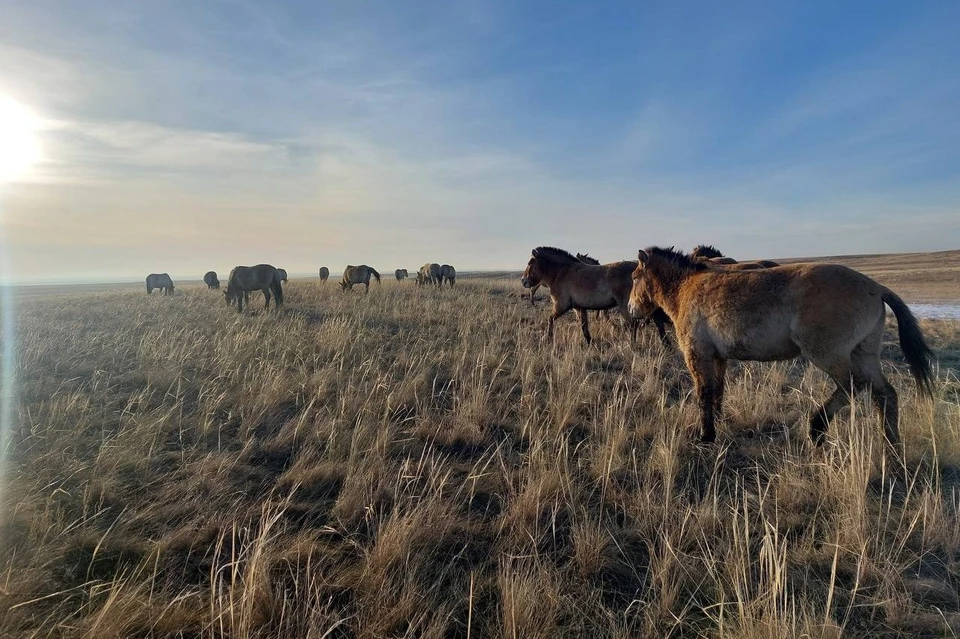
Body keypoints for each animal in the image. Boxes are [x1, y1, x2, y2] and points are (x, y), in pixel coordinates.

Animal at [628, 246, 932, 450]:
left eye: (633, 277)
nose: (631, 309)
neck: (686, 288)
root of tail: (875, 287)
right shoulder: (718, 358)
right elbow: (717, 390)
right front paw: (718, 423)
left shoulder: (697, 355)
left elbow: (704, 393)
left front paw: (706, 436)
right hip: (864, 354)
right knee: (885, 394)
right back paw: (892, 447)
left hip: (830, 356)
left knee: (853, 386)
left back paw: (817, 428)